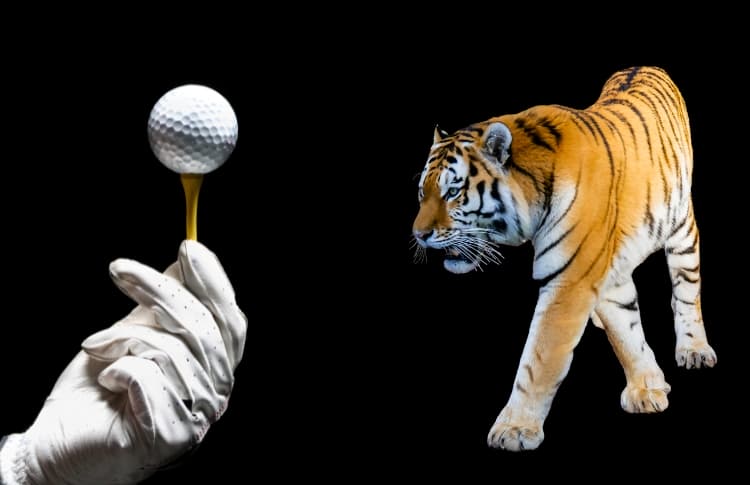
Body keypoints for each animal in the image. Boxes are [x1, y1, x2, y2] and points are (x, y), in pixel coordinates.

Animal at [412, 66, 716, 451]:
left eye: (453, 192)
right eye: (422, 193)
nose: (418, 235)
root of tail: (645, 66)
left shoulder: (570, 280)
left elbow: (539, 359)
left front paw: (514, 429)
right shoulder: (602, 273)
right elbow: (626, 332)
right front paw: (647, 387)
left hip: (681, 227)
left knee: (687, 291)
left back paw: (695, 350)